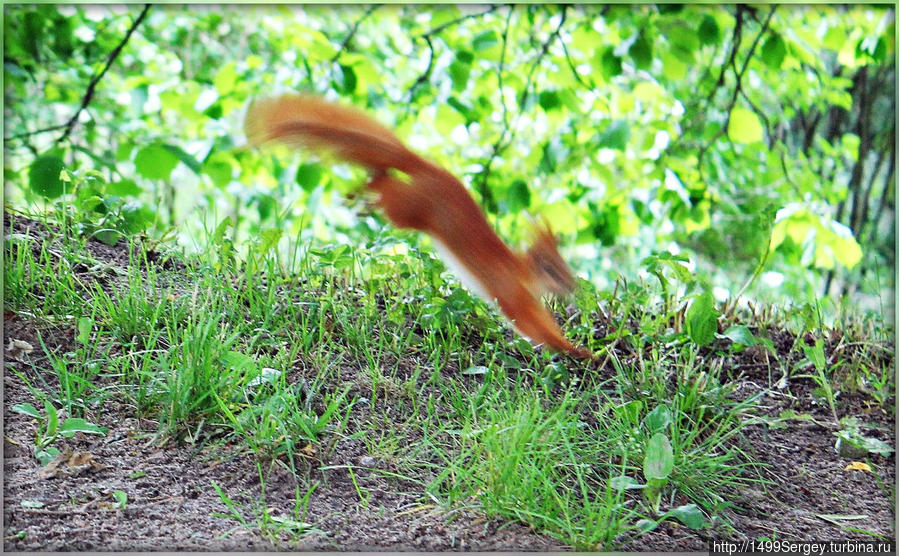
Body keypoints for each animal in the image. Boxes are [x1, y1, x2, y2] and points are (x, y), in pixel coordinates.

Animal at [246, 93, 596, 358]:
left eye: (565, 265)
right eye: (550, 267)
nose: (572, 286)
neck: (521, 271)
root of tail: (427, 167)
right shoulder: (512, 295)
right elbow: (533, 326)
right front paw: (580, 351)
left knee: (381, 174)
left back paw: (359, 191)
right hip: (408, 209)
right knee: (386, 187)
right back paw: (364, 195)